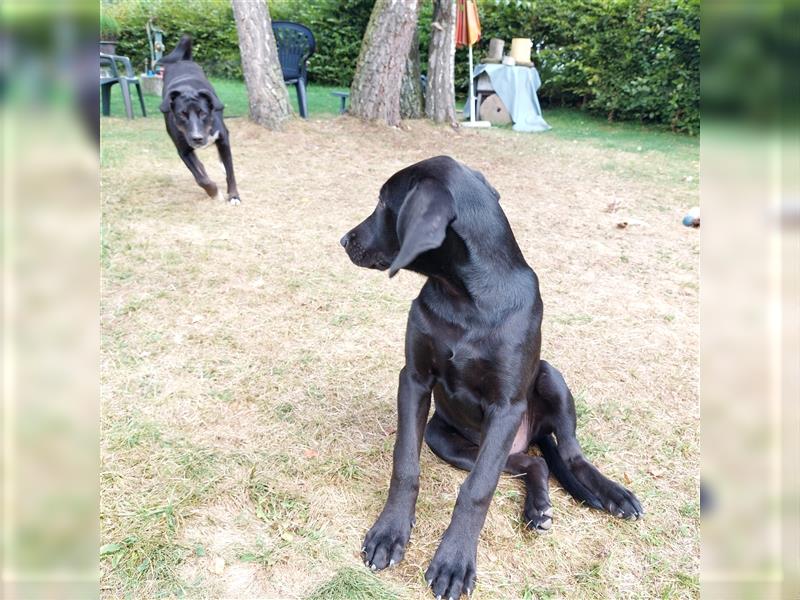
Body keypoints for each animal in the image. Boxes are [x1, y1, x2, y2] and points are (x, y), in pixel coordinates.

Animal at [158, 38, 239, 206]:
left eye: (203, 113)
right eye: (182, 114)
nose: (197, 138)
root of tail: (183, 60)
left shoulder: (223, 138)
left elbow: (230, 171)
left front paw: (234, 196)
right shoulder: (183, 150)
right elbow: (200, 178)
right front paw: (215, 193)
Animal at [340, 156, 640, 600]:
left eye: (382, 203)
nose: (344, 239)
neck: (465, 296)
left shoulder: (506, 405)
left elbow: (477, 489)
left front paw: (454, 562)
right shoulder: (413, 379)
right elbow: (405, 464)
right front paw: (389, 533)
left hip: (550, 377)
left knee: (569, 455)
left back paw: (612, 493)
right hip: (445, 438)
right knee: (533, 463)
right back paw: (538, 507)